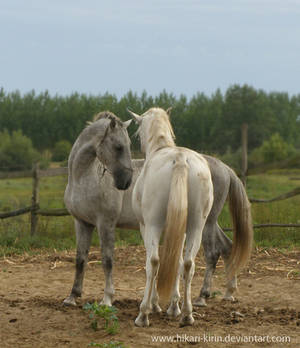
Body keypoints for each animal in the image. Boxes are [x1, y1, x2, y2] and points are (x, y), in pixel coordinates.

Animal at [129, 107, 253, 328]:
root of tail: (180, 159)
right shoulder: (182, 231)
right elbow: (177, 262)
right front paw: (173, 307)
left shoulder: (147, 227)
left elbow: (157, 263)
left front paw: (155, 305)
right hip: (197, 225)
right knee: (190, 263)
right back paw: (189, 313)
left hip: (157, 225)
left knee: (156, 262)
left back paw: (144, 315)